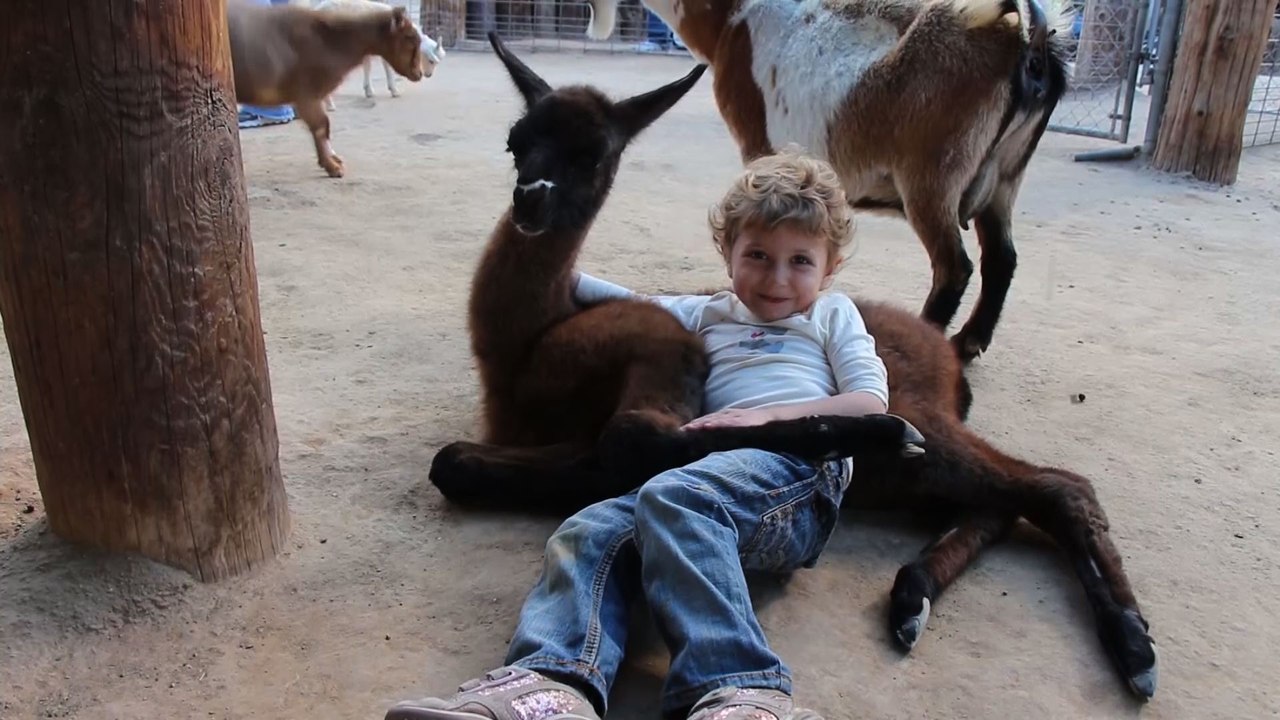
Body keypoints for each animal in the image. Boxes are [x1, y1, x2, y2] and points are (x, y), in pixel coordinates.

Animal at [227, 0, 426, 177]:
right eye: (409, 38)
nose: (419, 74)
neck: (329, 40)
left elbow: (325, 126)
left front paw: (333, 159)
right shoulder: (306, 95)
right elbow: (322, 126)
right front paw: (332, 167)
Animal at [311, 0, 446, 110]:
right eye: (431, 61)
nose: (428, 75)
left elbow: (367, 66)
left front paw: (368, 90)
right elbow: (385, 66)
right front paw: (394, 91)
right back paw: (329, 105)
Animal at [581, 0, 1072, 362]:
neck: (730, 20)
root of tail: (1028, 42)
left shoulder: (759, 144)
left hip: (932, 175)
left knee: (954, 267)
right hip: (1005, 177)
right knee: (1002, 258)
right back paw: (968, 343)